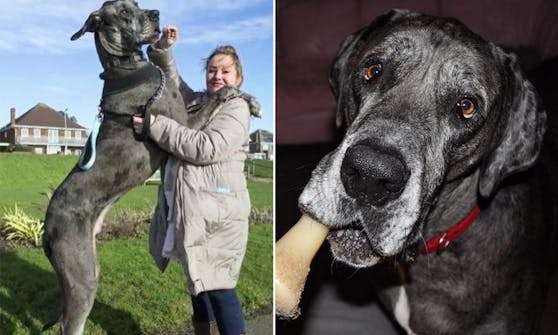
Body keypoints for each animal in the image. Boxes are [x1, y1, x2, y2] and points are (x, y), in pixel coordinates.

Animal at [41, 1, 189, 334]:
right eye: (123, 12)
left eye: (137, 5)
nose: (156, 13)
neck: (127, 66)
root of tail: (45, 230)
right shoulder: (183, 125)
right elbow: (216, 98)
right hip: (82, 281)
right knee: (71, 323)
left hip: (87, 268)